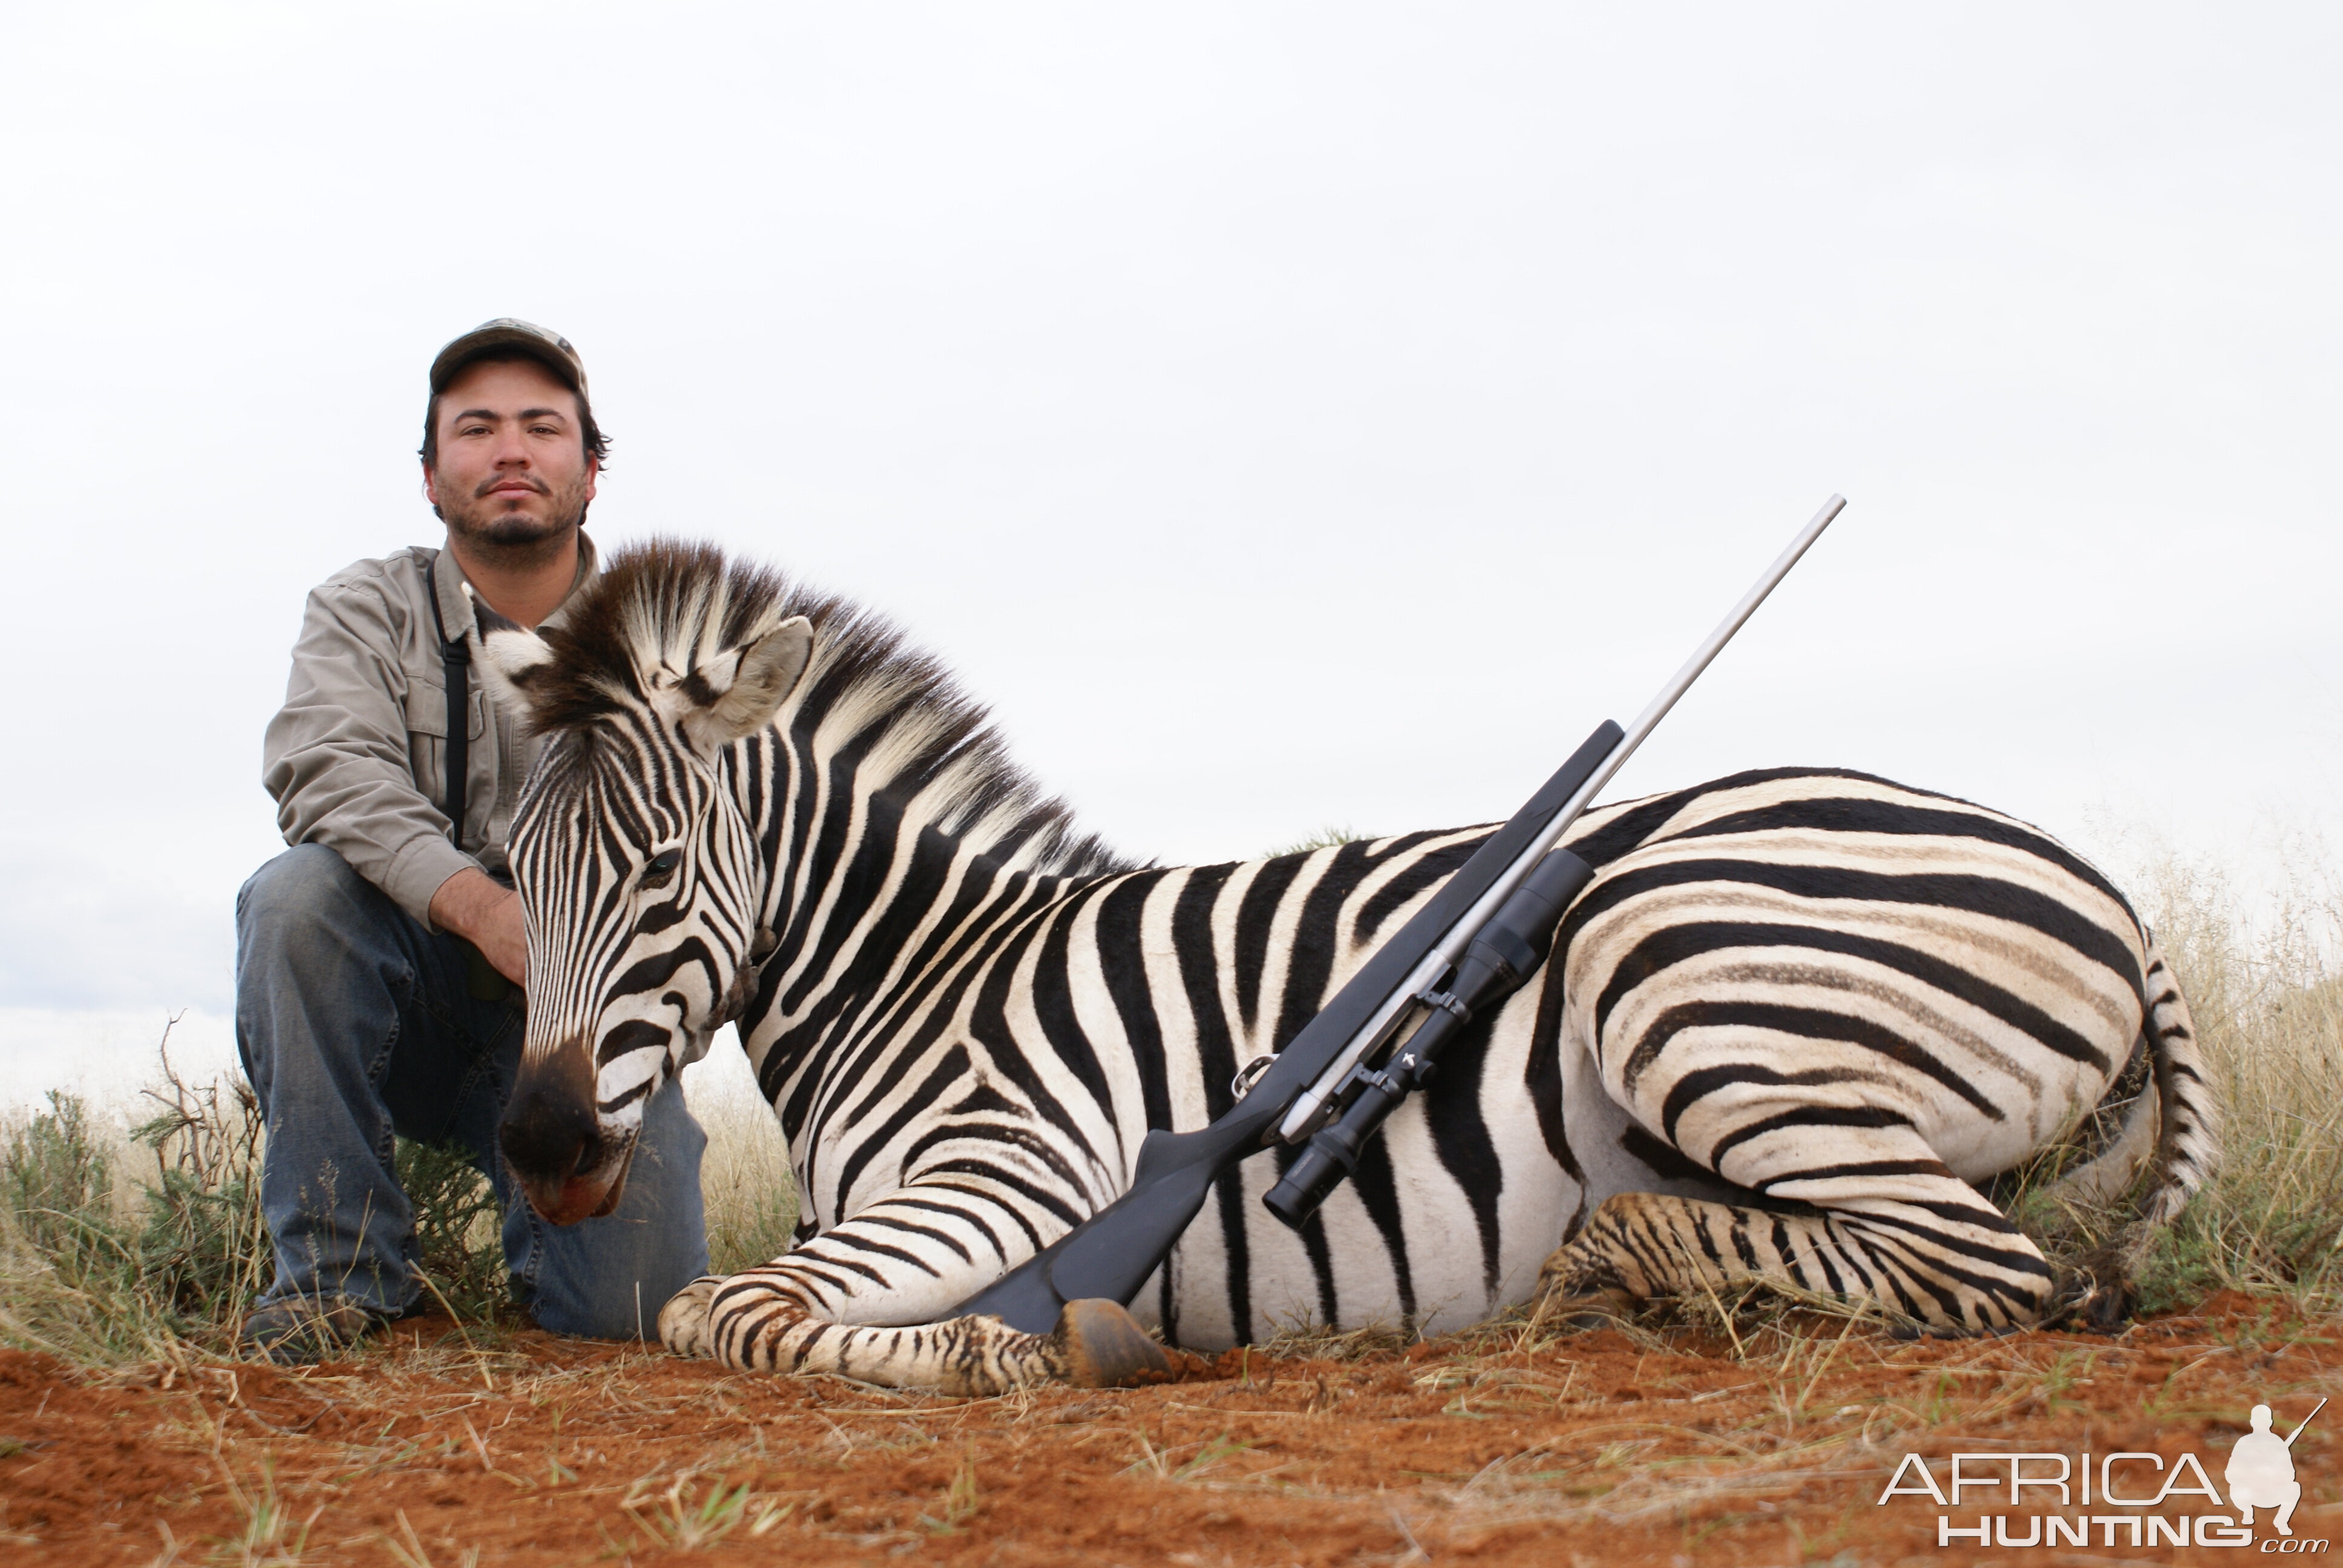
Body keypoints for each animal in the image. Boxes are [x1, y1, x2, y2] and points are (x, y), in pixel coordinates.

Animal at [471, 541, 2212, 1397]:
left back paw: (1615, 1275)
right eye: (510, 868)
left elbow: (721, 1309)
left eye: (658, 872)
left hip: (1673, 975)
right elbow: (737, 1300)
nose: (542, 1146)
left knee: (1989, 1268)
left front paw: (1002, 1347)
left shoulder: (1013, 1170)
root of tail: (2111, 898)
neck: (921, 970)